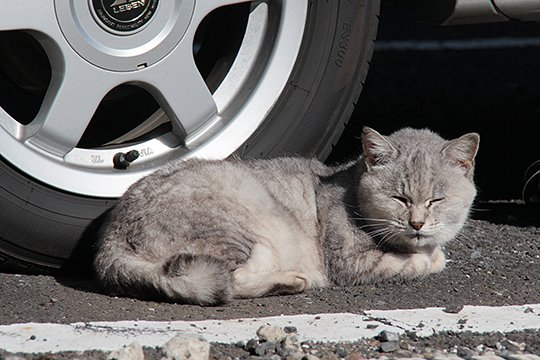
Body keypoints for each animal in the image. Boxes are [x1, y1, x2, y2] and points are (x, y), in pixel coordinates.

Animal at [95, 128, 478, 306]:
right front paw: (431, 256)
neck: (350, 186)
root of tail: (107, 243)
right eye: (399, 198)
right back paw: (291, 280)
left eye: (437, 200)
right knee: (227, 281)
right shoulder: (349, 262)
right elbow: (416, 261)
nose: (417, 223)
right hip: (232, 228)